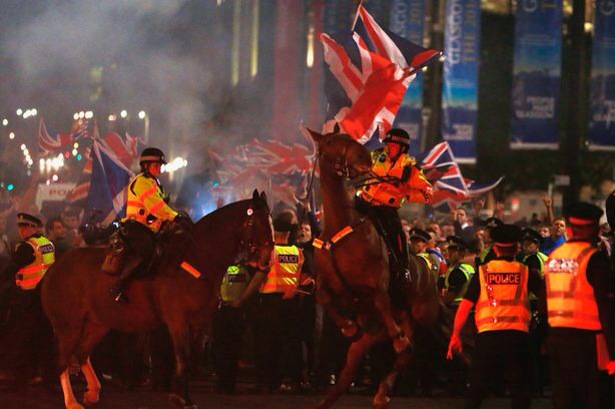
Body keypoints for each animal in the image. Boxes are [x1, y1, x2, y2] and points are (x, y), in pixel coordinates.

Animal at [41, 190, 274, 409]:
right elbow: (183, 356)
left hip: (97, 324)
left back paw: (93, 393)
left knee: (81, 354)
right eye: (256, 222)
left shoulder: (198, 323)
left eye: (270, 220)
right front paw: (182, 399)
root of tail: (53, 269)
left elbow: (191, 355)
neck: (196, 260)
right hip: (68, 326)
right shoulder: (177, 319)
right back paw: (71, 401)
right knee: (62, 360)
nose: (267, 259)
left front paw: (181, 396)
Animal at [305, 129, 444, 409]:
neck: (341, 227)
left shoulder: (376, 284)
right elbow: (323, 296)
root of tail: (430, 271)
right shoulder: (329, 282)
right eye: (330, 142)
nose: (363, 158)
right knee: (354, 365)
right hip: (374, 331)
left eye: (350, 139)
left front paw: (397, 339)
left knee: (411, 347)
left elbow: (381, 302)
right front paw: (348, 326)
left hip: (418, 316)